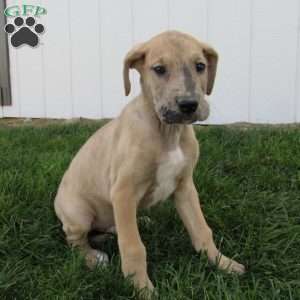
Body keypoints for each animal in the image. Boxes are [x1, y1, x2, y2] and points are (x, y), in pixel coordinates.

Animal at [55, 31, 245, 294]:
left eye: (200, 66)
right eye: (159, 69)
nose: (188, 104)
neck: (167, 132)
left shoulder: (185, 186)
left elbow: (201, 229)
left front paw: (222, 262)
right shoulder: (123, 191)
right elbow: (133, 246)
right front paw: (142, 288)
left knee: (113, 226)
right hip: (78, 214)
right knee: (75, 240)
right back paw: (92, 257)